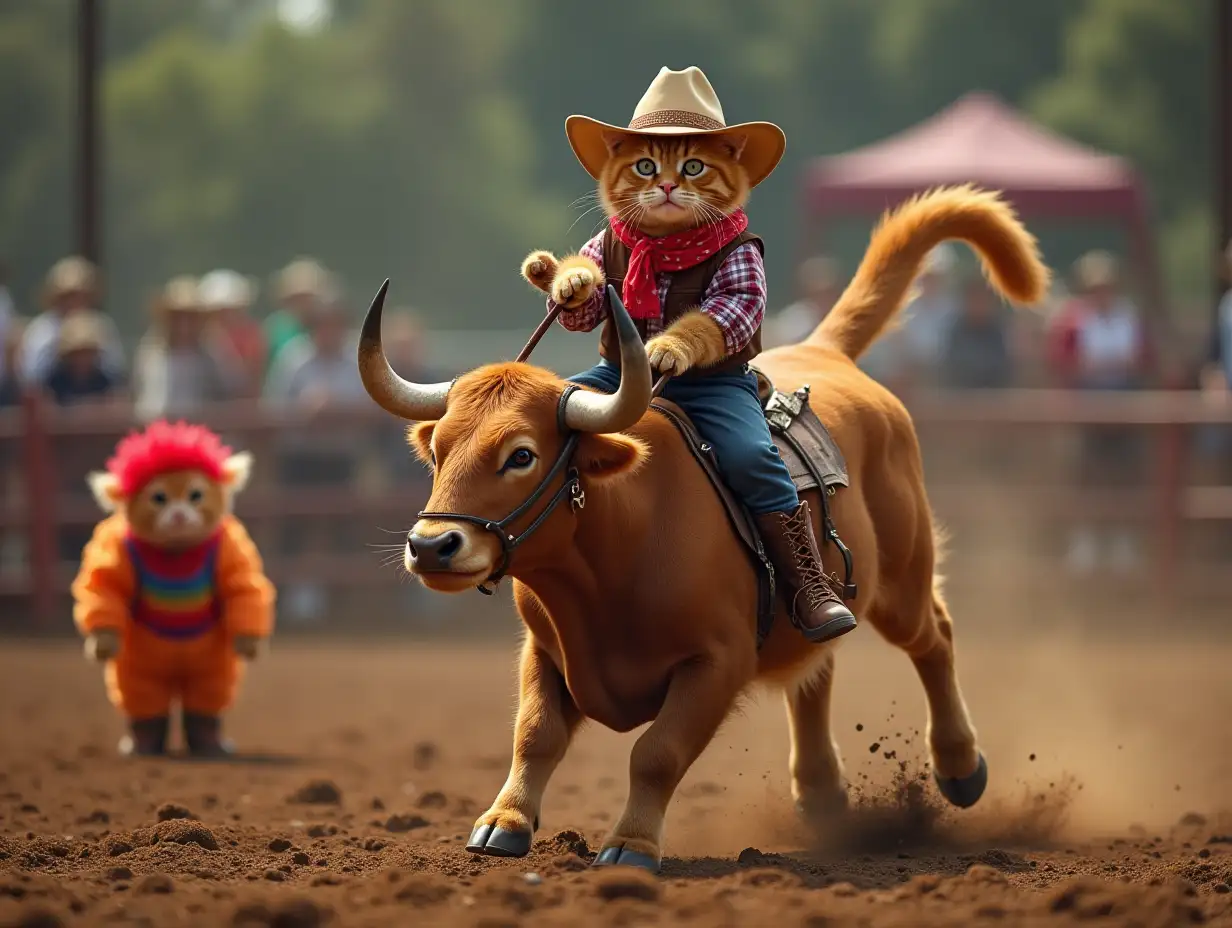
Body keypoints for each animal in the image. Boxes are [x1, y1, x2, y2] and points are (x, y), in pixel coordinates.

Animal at [359, 186, 1049, 867]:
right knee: (817, 668)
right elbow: (535, 735)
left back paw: (960, 767)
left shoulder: (717, 663)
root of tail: (824, 353)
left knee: (935, 636)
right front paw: (502, 822)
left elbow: (657, 753)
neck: (616, 553)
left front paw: (631, 844)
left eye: (521, 455)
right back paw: (821, 793)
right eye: (439, 449)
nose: (432, 546)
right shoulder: (545, 651)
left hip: (902, 578)